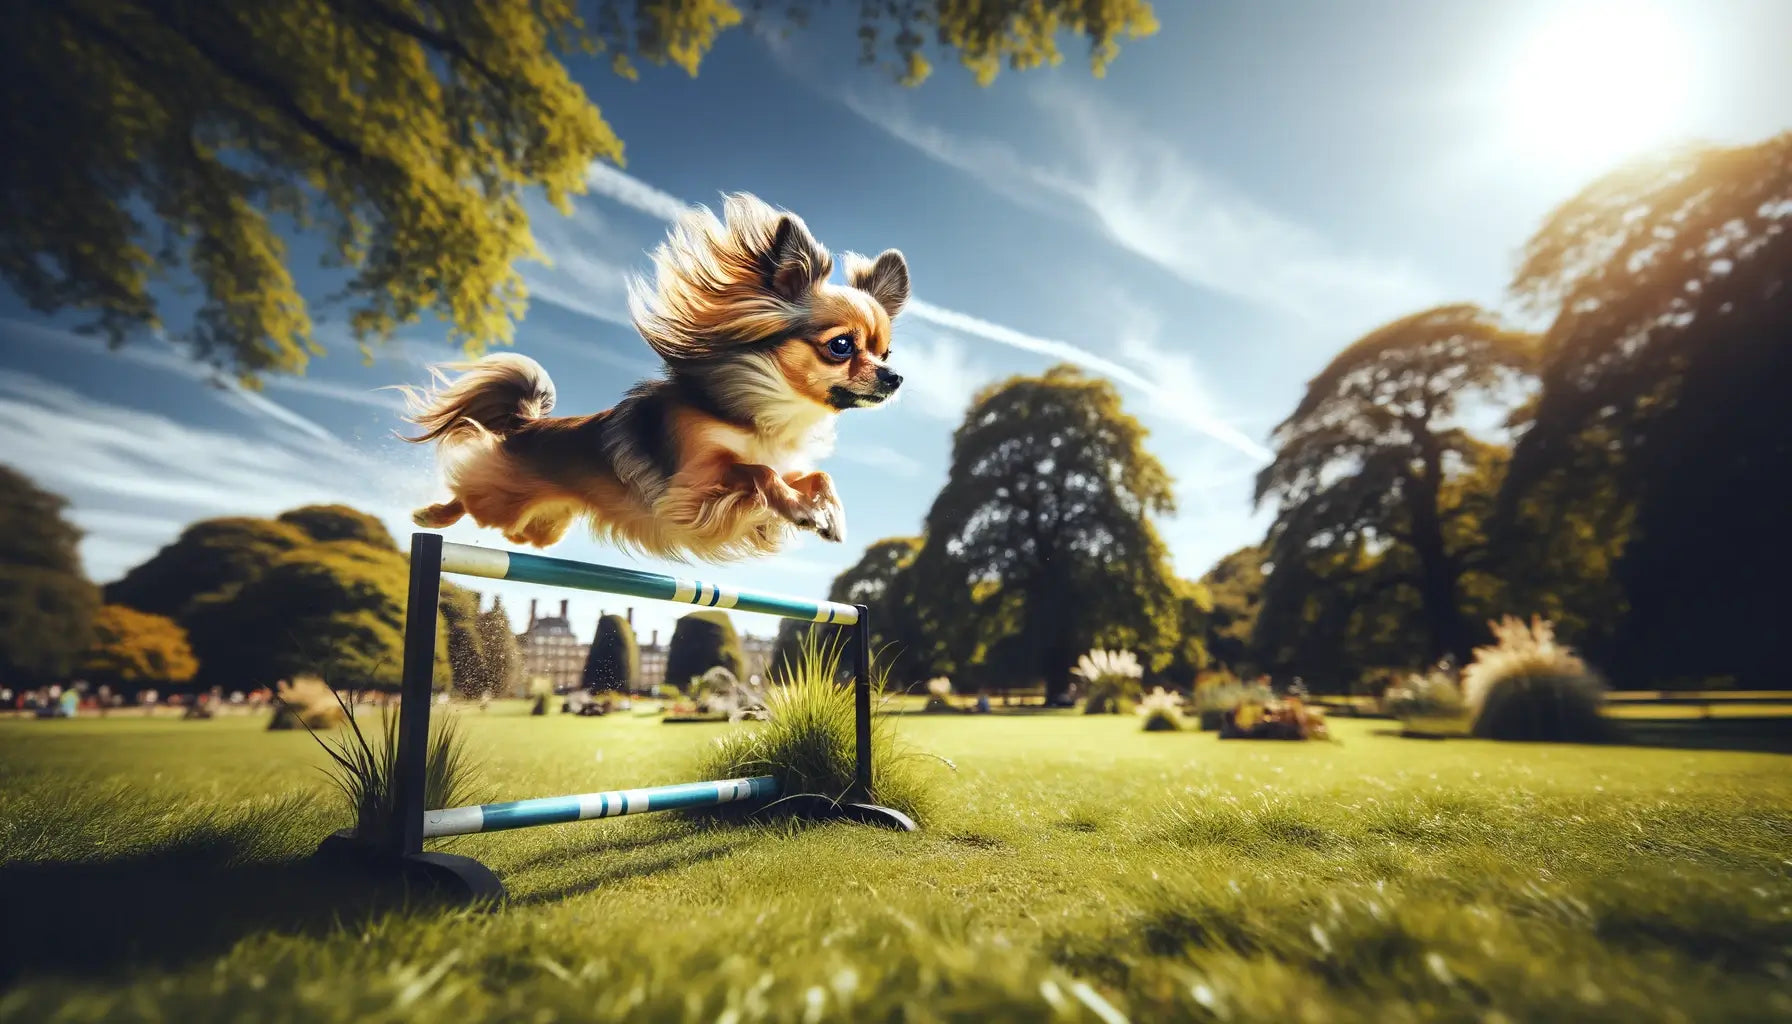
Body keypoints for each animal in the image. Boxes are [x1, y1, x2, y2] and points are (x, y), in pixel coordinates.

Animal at [403, 190, 910, 559]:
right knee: (468, 491)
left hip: (544, 525)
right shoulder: (692, 488)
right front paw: (803, 510)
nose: (894, 377)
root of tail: (526, 424)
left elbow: (816, 477)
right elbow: (758, 472)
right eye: (841, 346)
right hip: (502, 500)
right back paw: (431, 516)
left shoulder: (778, 472)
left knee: (516, 534)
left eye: (885, 352)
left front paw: (829, 514)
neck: (767, 412)